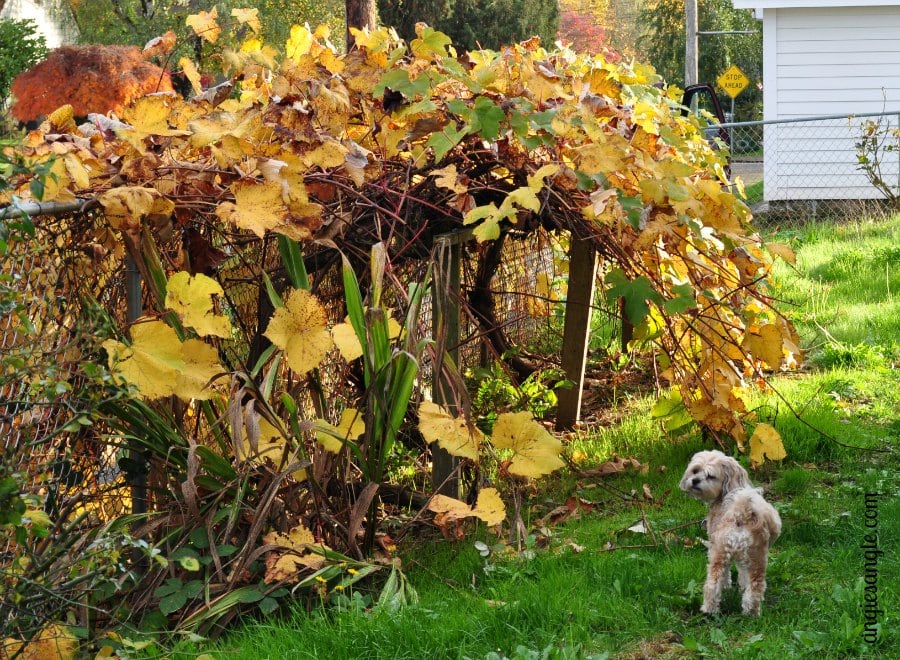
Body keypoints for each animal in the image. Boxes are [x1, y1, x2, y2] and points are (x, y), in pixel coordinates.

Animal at [684, 452, 780, 616]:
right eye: (695, 470)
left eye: (710, 476)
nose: (695, 480)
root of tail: (741, 513)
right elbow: (742, 575)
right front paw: (741, 587)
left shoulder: (716, 548)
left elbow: (727, 574)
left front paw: (727, 586)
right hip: (756, 559)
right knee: (755, 587)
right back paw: (751, 613)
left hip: (721, 553)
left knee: (713, 583)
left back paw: (709, 609)